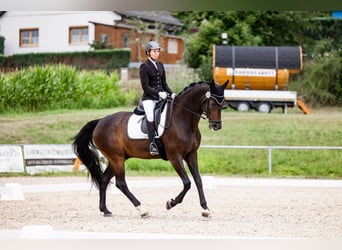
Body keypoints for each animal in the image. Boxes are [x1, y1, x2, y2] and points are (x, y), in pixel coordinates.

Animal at [73, 79, 227, 218]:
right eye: (212, 103)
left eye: (223, 104)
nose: (216, 126)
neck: (183, 120)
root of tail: (100, 121)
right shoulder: (175, 157)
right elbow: (187, 183)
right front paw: (170, 203)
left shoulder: (191, 154)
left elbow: (198, 181)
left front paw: (205, 209)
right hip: (117, 158)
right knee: (121, 183)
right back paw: (142, 210)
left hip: (118, 158)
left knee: (104, 179)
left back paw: (105, 210)